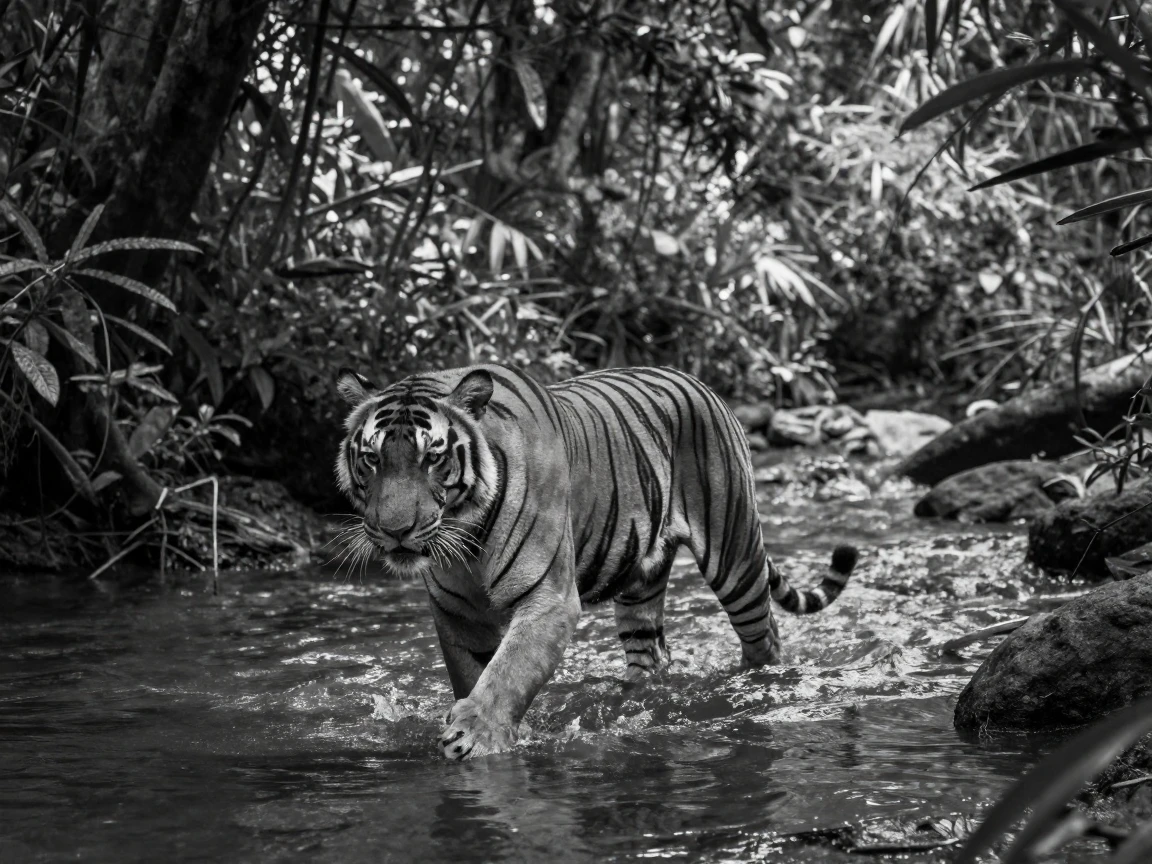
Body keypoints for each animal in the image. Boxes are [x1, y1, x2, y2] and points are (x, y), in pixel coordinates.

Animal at [335, 363, 858, 760]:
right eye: (372, 459)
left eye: (433, 458)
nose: (394, 530)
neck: (464, 539)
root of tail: (698, 381)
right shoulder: (457, 612)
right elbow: (477, 672)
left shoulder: (548, 599)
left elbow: (507, 673)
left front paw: (475, 735)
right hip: (640, 583)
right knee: (652, 654)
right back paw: (631, 699)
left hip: (735, 553)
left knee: (764, 636)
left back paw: (758, 690)